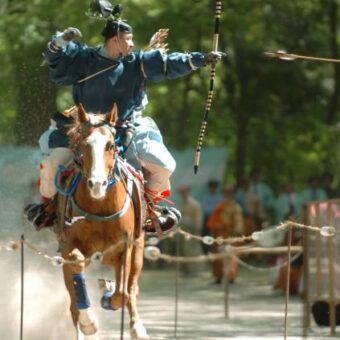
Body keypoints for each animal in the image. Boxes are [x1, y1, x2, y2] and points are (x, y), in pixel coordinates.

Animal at [57, 105, 149, 338]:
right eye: (83, 144)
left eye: (110, 145)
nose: (97, 184)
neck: (101, 209)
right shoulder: (69, 245)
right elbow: (76, 263)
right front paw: (88, 321)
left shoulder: (125, 247)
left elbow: (122, 293)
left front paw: (108, 296)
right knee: (73, 305)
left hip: (138, 249)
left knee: (131, 288)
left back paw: (137, 327)